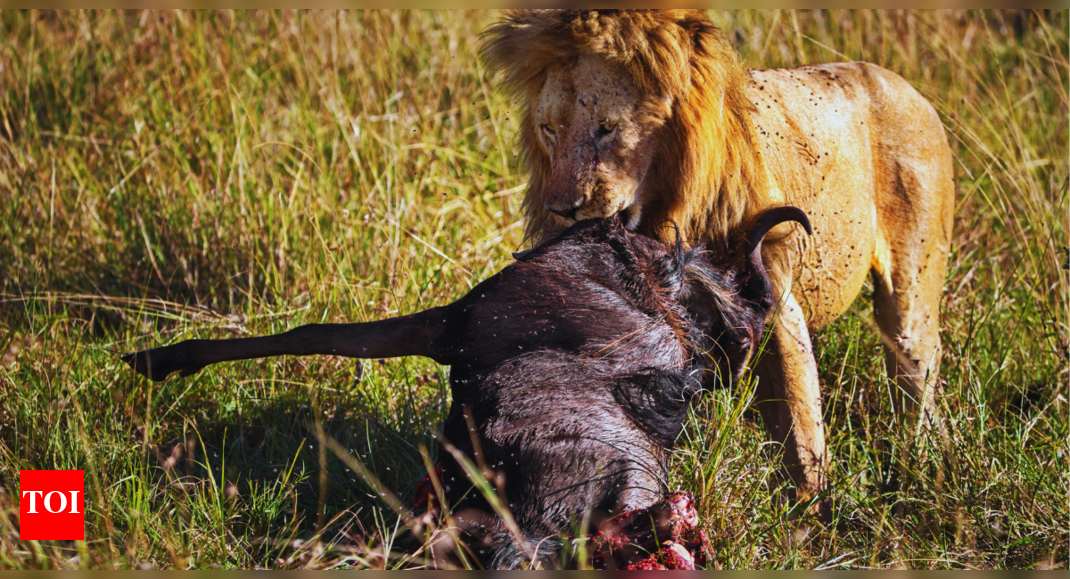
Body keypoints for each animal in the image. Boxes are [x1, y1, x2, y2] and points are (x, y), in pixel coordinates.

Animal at [480, 9, 955, 508]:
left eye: (607, 127)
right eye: (549, 129)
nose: (563, 208)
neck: (665, 207)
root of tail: (902, 83)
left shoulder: (778, 302)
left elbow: (801, 428)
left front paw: (807, 514)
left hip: (912, 295)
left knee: (915, 375)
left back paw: (921, 469)